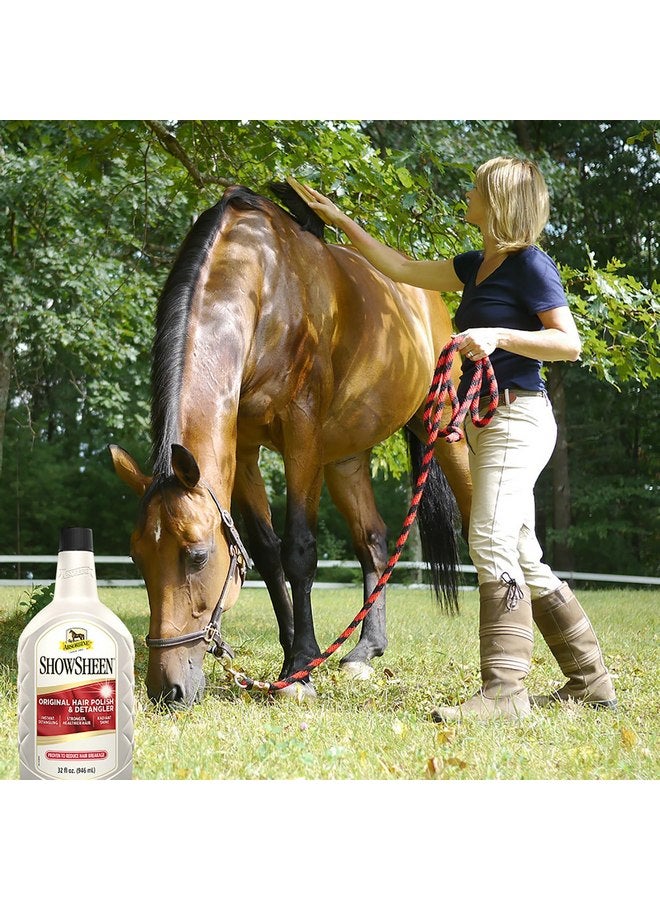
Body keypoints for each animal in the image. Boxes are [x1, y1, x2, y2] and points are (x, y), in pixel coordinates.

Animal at [109, 183, 472, 707]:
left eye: (197, 555)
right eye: (137, 556)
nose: (169, 689)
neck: (264, 283)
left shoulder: (302, 434)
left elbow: (298, 550)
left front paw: (301, 667)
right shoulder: (243, 450)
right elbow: (266, 552)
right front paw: (293, 660)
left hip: (443, 431)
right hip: (345, 456)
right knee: (373, 540)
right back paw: (365, 651)